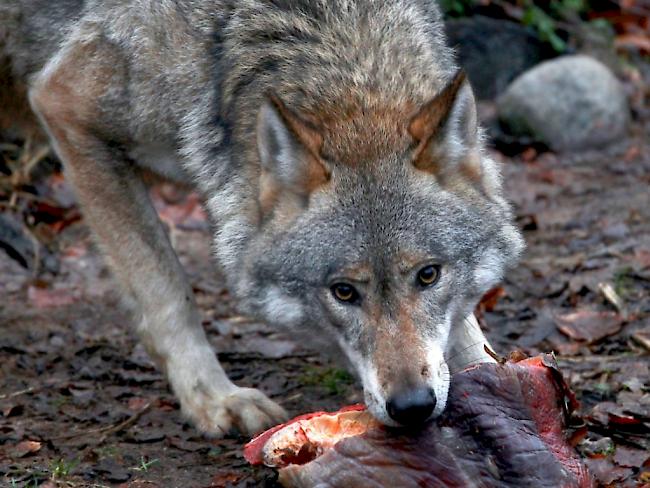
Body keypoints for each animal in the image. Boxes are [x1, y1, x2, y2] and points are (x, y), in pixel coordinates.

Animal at [0, 0, 524, 434]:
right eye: (343, 292)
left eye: (428, 275)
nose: (412, 406)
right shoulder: (65, 107)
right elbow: (166, 290)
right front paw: (214, 399)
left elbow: (465, 328)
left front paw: (501, 378)